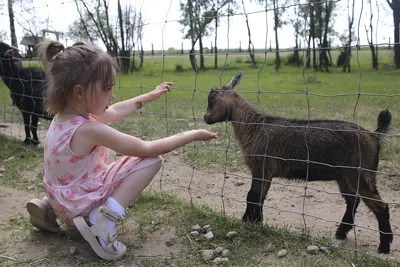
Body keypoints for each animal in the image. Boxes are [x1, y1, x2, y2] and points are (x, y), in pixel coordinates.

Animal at [205, 71, 392, 255]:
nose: (205, 117)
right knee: (353, 200)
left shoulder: (261, 167)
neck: (254, 126)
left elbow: (252, 196)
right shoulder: (268, 172)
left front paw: (245, 221)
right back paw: (341, 233)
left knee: (380, 206)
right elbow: (261, 197)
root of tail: (374, 136)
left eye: (213, 98)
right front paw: (257, 222)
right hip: (344, 176)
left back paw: (384, 246)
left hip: (361, 173)